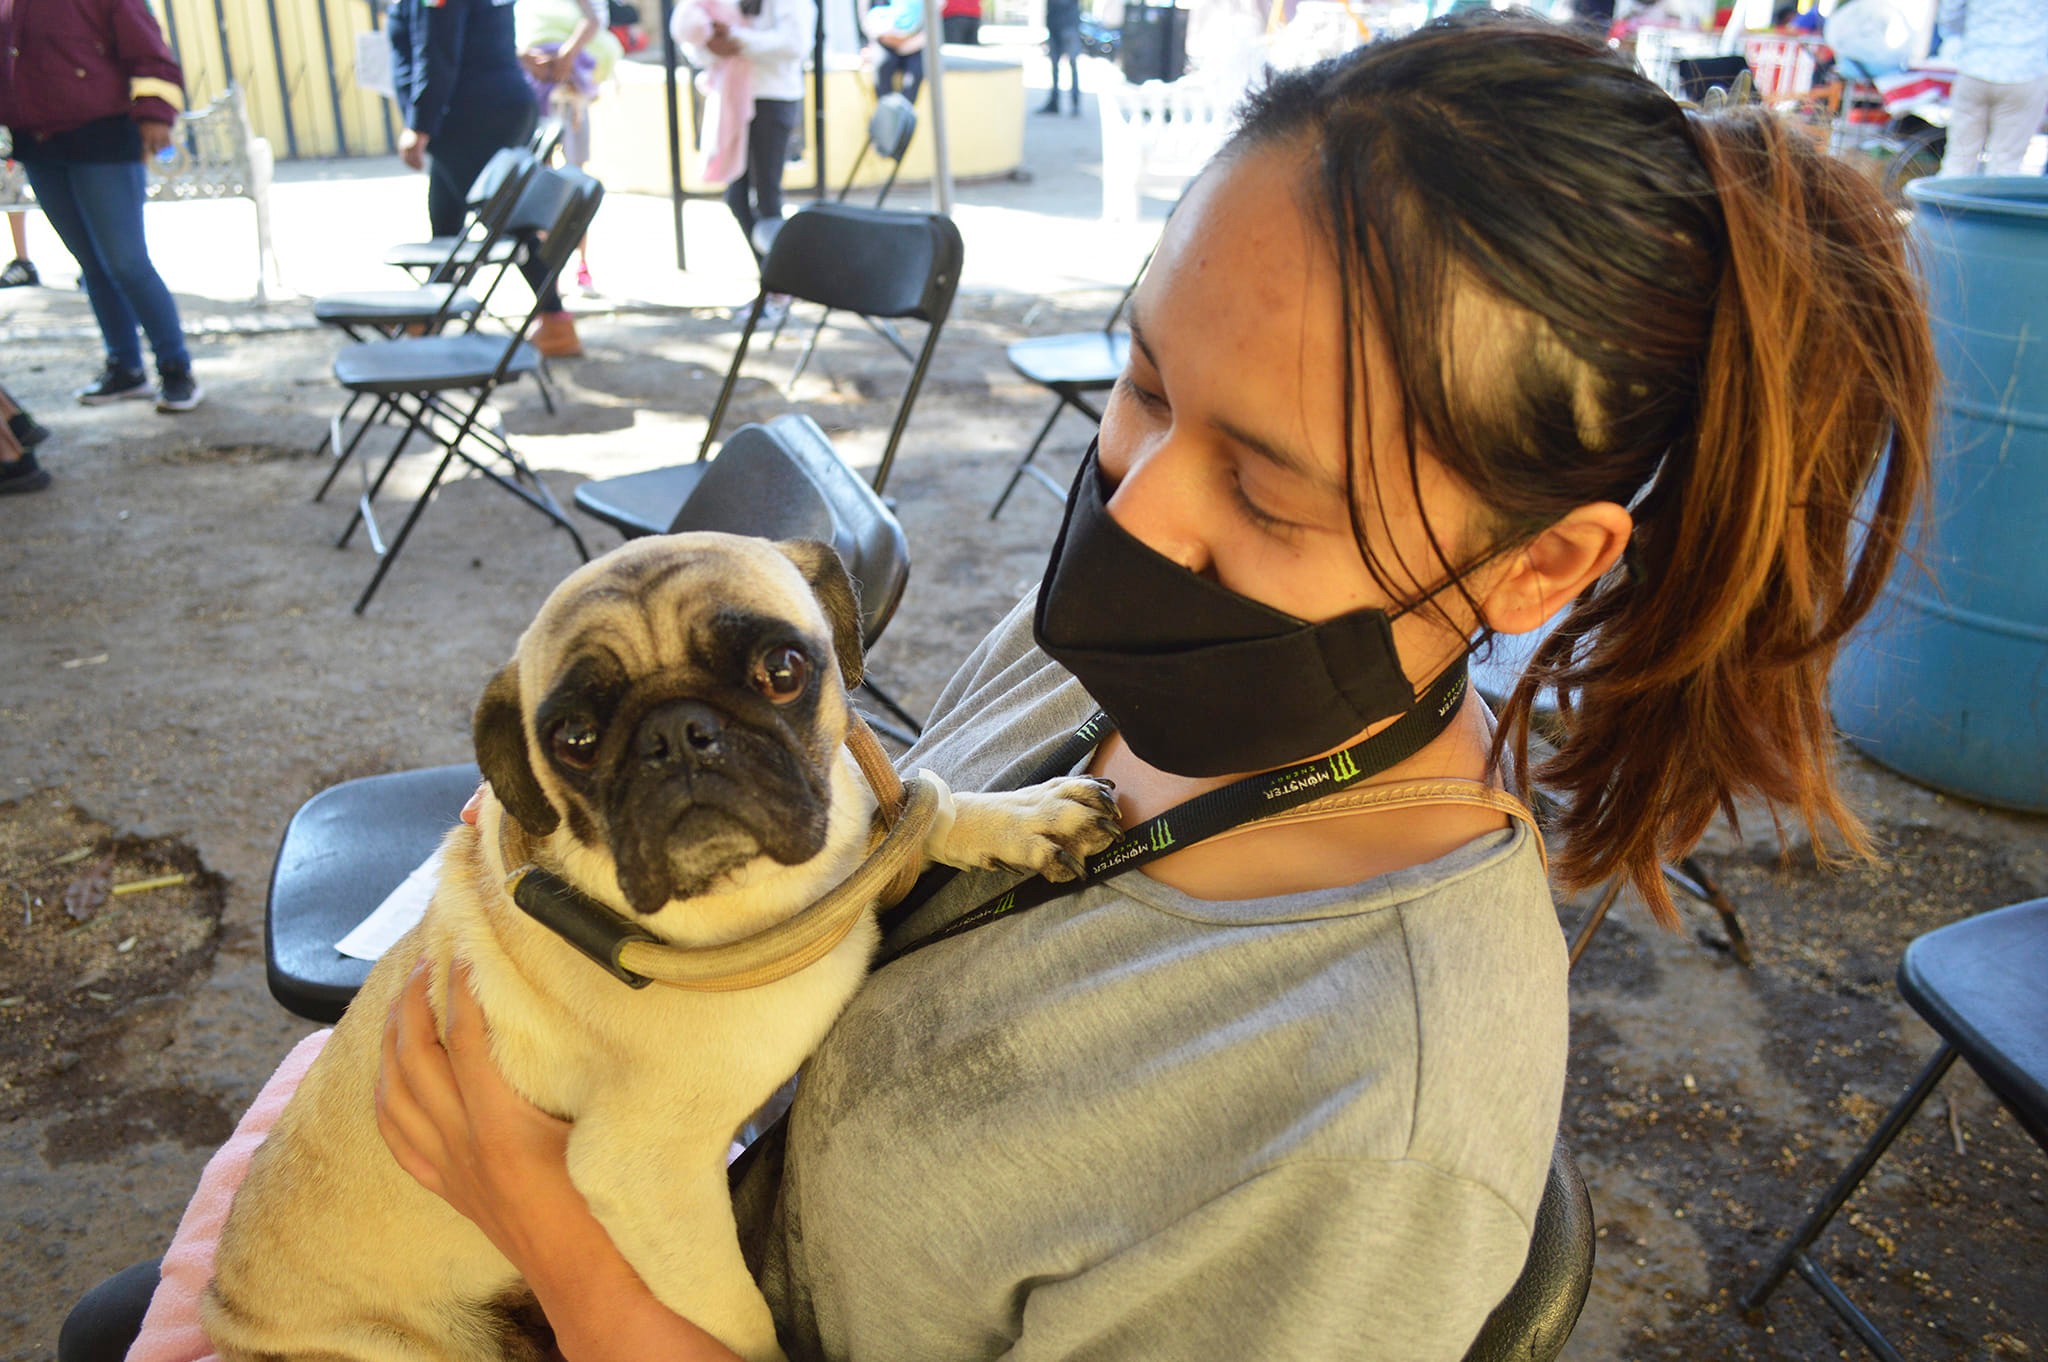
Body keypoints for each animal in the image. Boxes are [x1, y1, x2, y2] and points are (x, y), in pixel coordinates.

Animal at [207, 532, 1122, 1359]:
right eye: (573, 739)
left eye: (783, 669)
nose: (676, 733)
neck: (764, 900)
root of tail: (226, 1312)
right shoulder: (652, 1181)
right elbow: (741, 1323)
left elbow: (922, 818)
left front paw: (1019, 817)